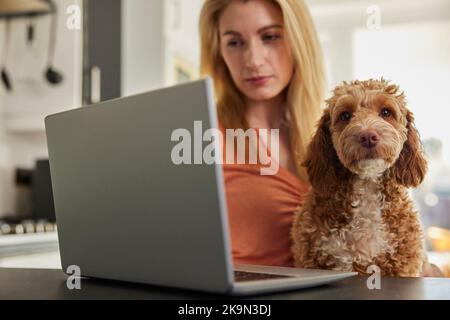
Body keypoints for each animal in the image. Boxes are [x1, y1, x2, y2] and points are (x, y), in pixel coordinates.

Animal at [292, 79, 428, 276]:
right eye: (345, 115)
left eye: (386, 112)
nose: (368, 136)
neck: (366, 185)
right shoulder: (312, 257)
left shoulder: (402, 262)